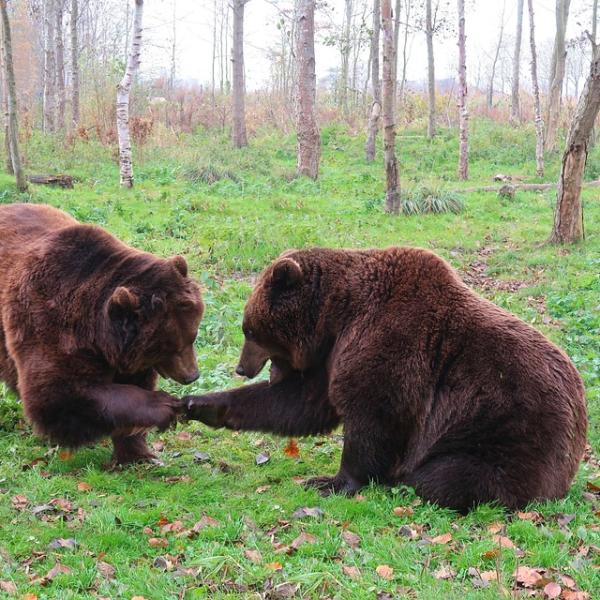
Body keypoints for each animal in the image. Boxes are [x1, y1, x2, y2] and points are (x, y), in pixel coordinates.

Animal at [0, 203, 204, 464]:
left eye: (192, 336)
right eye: (170, 347)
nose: (192, 375)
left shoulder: (127, 355)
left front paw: (137, 454)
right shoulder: (49, 323)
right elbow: (58, 394)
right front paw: (164, 406)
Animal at [186, 247, 584, 510]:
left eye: (249, 329)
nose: (241, 368)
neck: (336, 314)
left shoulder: (390, 341)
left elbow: (375, 414)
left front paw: (331, 481)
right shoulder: (333, 355)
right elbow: (301, 403)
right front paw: (200, 404)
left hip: (506, 433)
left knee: (447, 477)